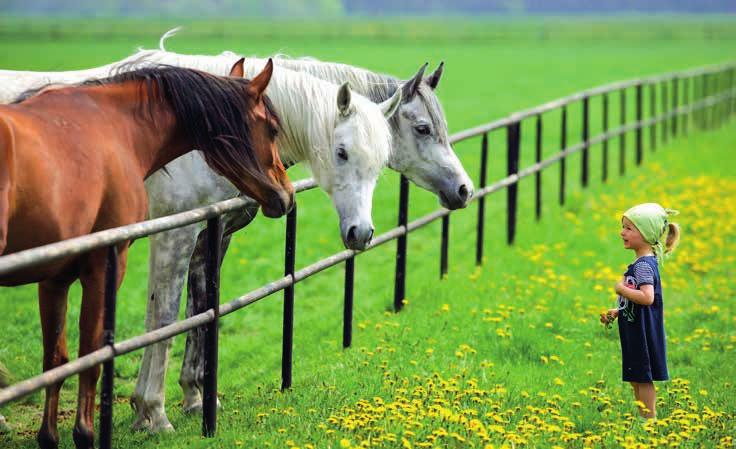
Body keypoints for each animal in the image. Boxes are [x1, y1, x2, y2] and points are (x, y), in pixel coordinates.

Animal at [0, 59, 294, 448]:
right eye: (273, 129)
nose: (286, 195)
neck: (117, 130)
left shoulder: (54, 278)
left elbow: (56, 359)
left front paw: (49, 437)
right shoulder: (107, 265)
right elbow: (97, 353)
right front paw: (94, 431)